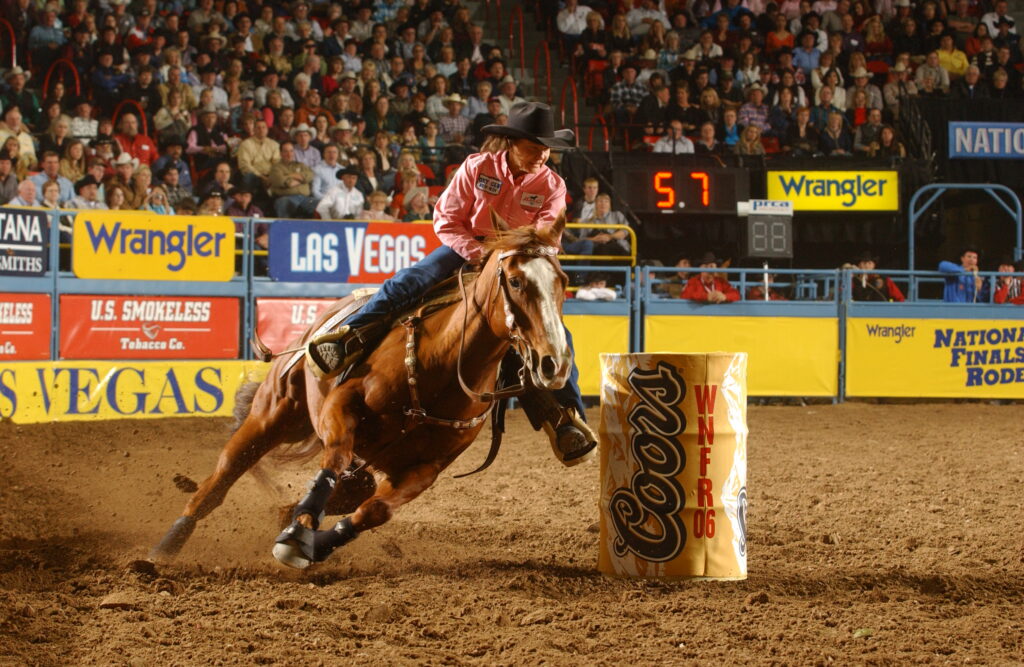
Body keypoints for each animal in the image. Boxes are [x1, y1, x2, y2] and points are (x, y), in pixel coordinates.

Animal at [151, 212, 572, 568]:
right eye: (515, 281)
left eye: (563, 284)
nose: (555, 363)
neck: (440, 367)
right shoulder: (341, 407)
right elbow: (333, 459)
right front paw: (296, 533)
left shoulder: (425, 468)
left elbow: (375, 511)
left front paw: (312, 542)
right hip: (273, 415)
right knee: (223, 475)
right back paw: (167, 545)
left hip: (359, 465)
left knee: (351, 492)